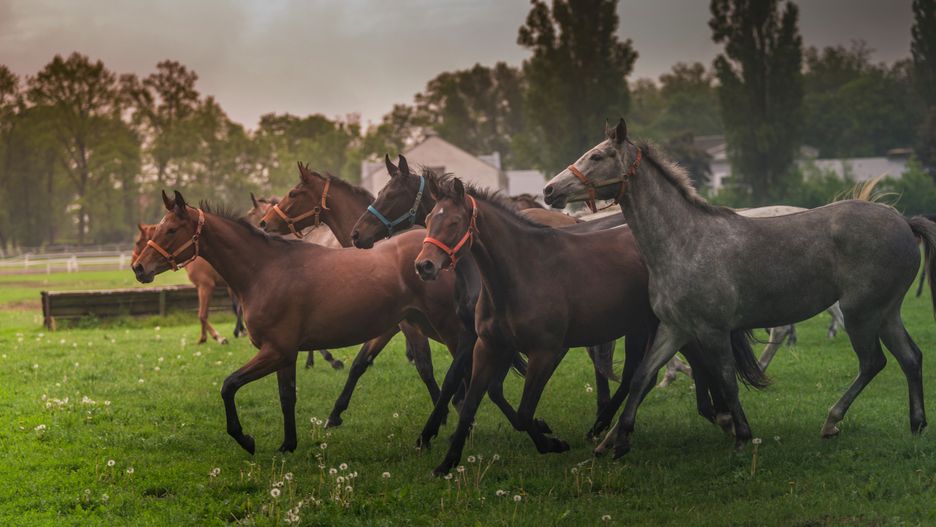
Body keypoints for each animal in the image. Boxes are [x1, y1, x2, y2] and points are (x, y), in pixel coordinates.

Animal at [412, 176, 758, 475]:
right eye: (428, 220)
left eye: (454, 222)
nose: (423, 266)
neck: (521, 272)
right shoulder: (488, 347)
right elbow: (471, 403)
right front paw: (446, 463)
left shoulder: (546, 352)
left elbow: (524, 413)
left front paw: (552, 444)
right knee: (669, 369)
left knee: (691, 365)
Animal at [544, 119, 936, 458]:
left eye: (598, 156)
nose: (550, 189)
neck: (684, 241)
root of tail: (904, 222)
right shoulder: (675, 328)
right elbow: (642, 377)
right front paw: (618, 441)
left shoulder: (713, 330)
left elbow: (727, 381)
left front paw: (743, 436)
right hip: (886, 313)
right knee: (911, 357)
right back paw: (916, 424)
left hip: (861, 313)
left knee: (873, 362)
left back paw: (831, 421)